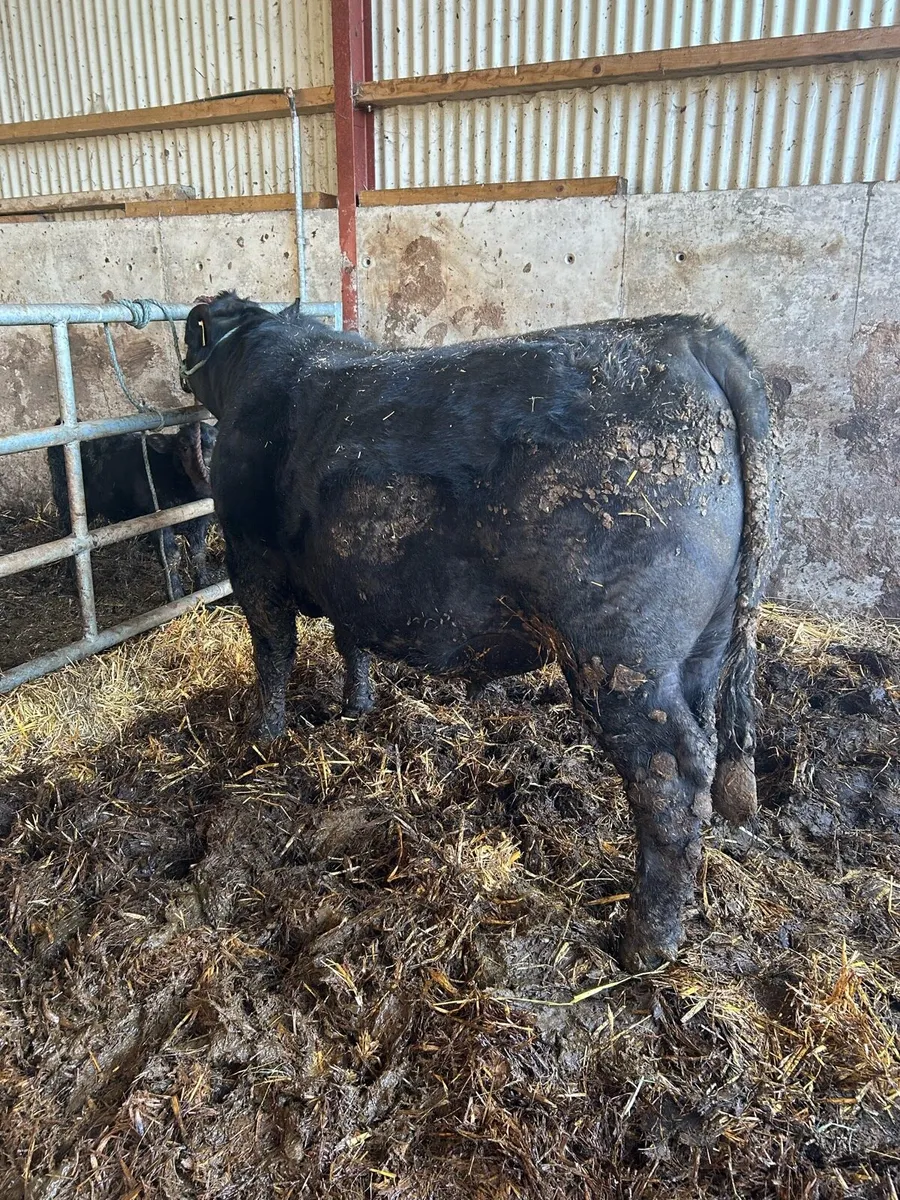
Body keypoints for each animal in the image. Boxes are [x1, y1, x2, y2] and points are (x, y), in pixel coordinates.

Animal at [48, 422, 217, 599]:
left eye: (217, 441)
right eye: (184, 447)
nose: (208, 464)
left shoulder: (201, 518)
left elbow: (199, 552)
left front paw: (205, 584)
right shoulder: (159, 522)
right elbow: (171, 556)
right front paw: (176, 593)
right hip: (65, 501)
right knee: (68, 536)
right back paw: (73, 577)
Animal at [180, 292, 778, 972]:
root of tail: (691, 335)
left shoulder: (250, 559)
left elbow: (273, 648)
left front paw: (264, 736)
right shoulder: (348, 575)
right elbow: (349, 639)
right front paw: (355, 707)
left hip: (621, 654)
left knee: (671, 776)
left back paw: (644, 943)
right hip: (706, 645)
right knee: (708, 744)